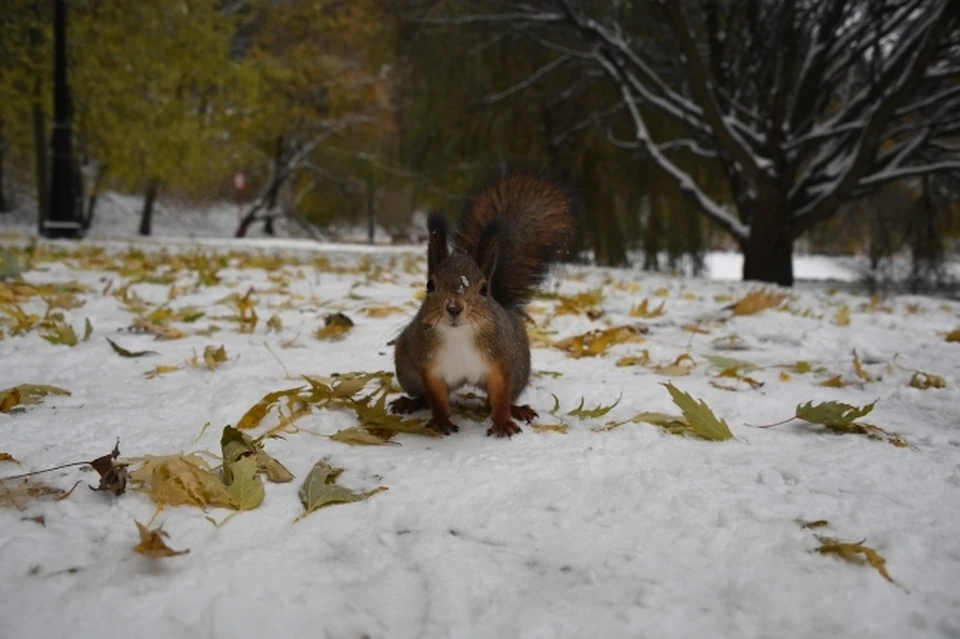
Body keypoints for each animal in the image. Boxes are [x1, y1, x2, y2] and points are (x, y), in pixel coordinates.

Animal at [390, 169, 576, 440]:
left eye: (483, 289)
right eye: (430, 285)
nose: (454, 308)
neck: (459, 336)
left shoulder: (501, 365)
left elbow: (499, 398)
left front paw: (503, 422)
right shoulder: (430, 370)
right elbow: (437, 399)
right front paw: (441, 421)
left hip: (521, 371)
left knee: (500, 399)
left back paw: (517, 409)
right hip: (406, 369)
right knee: (423, 396)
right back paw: (410, 402)